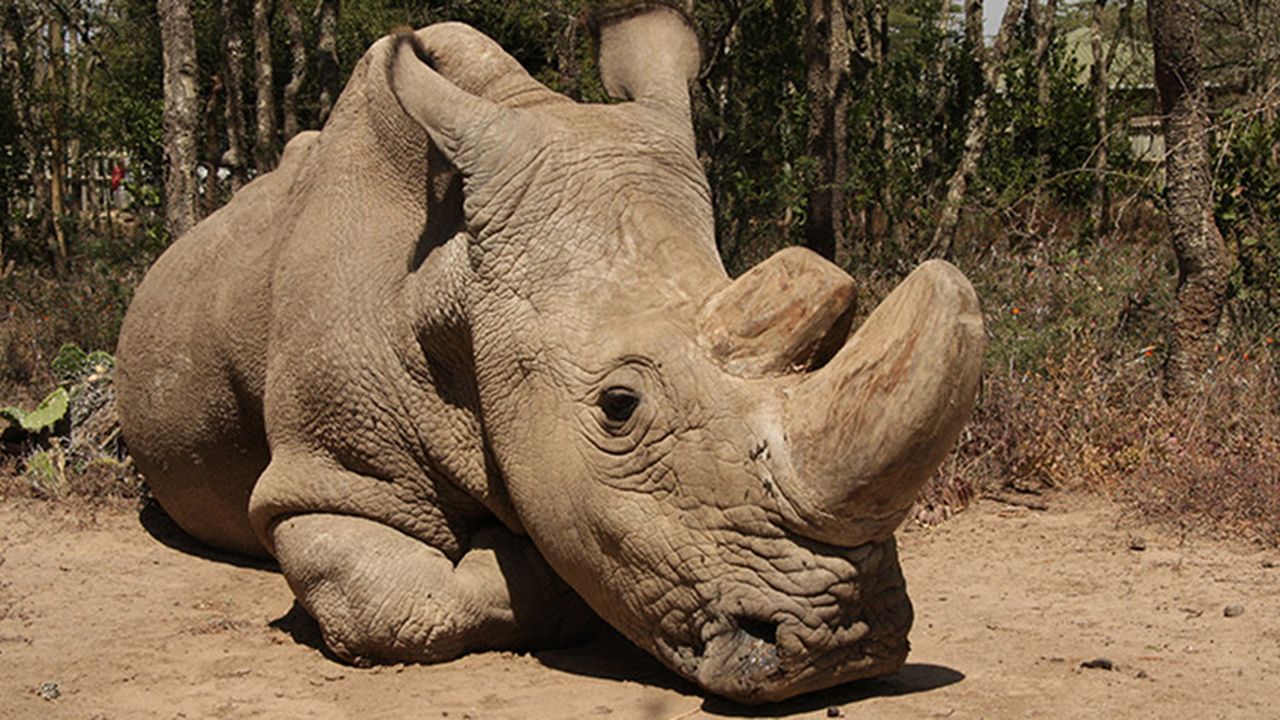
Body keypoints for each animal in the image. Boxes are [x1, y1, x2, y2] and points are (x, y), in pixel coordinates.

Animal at [116, 2, 984, 704]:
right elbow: (396, 607)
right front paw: (519, 558)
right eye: (618, 407)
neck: (454, 288)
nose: (847, 646)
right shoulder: (327, 478)